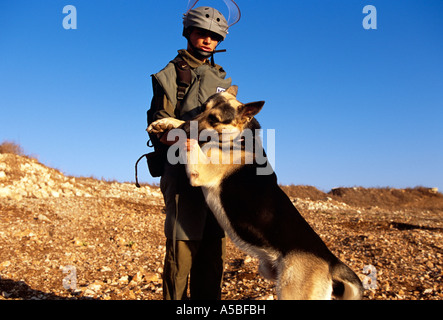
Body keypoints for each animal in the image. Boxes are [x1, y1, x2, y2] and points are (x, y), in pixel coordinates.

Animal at [148, 85, 364, 300]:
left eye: (215, 119)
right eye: (202, 108)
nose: (183, 128)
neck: (237, 137)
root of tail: (331, 262)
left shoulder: (201, 170)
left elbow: (193, 140)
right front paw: (166, 123)